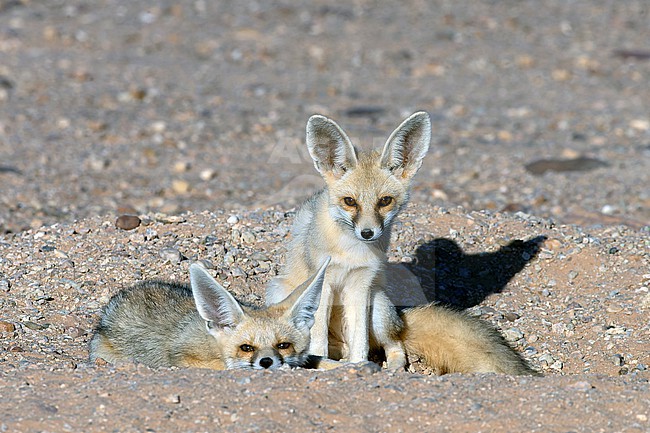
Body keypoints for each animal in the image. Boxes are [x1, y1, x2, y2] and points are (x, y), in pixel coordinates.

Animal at [266, 111, 432, 369]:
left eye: (385, 201)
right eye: (350, 201)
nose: (367, 233)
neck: (351, 252)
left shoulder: (361, 284)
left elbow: (360, 340)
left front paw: (359, 365)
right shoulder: (323, 282)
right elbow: (318, 339)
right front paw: (322, 363)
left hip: (378, 305)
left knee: (394, 345)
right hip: (277, 291)